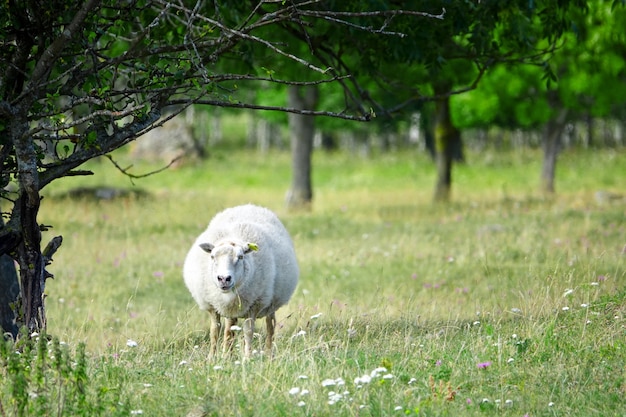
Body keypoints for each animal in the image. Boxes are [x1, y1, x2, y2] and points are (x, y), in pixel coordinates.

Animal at [182, 203, 298, 356]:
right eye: (212, 257)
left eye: (241, 257)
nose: (224, 278)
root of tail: (249, 206)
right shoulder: (212, 305)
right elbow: (215, 331)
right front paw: (212, 357)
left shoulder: (254, 304)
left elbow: (248, 332)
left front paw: (247, 358)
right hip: (232, 309)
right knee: (229, 329)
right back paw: (227, 355)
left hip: (271, 303)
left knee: (270, 327)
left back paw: (268, 355)